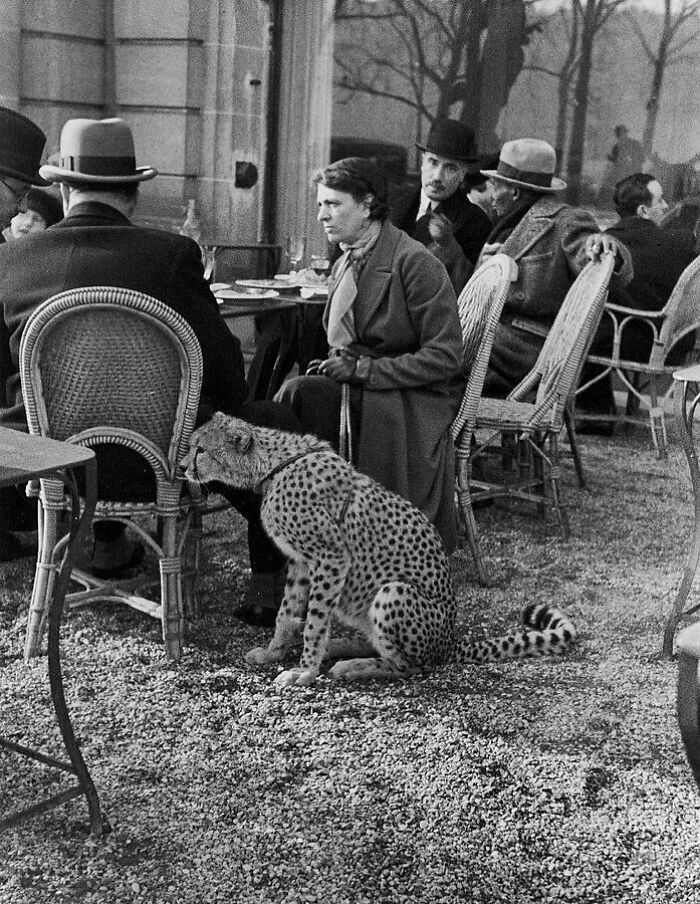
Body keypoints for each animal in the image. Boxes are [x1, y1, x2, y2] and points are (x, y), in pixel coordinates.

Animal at [183, 414, 576, 688]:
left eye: (201, 449)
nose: (183, 467)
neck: (274, 465)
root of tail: (451, 641)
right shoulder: (300, 561)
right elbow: (287, 613)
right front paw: (273, 652)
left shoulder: (330, 558)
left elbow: (315, 621)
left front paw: (305, 671)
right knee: (378, 644)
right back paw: (341, 646)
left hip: (393, 592)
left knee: (408, 665)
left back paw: (350, 665)